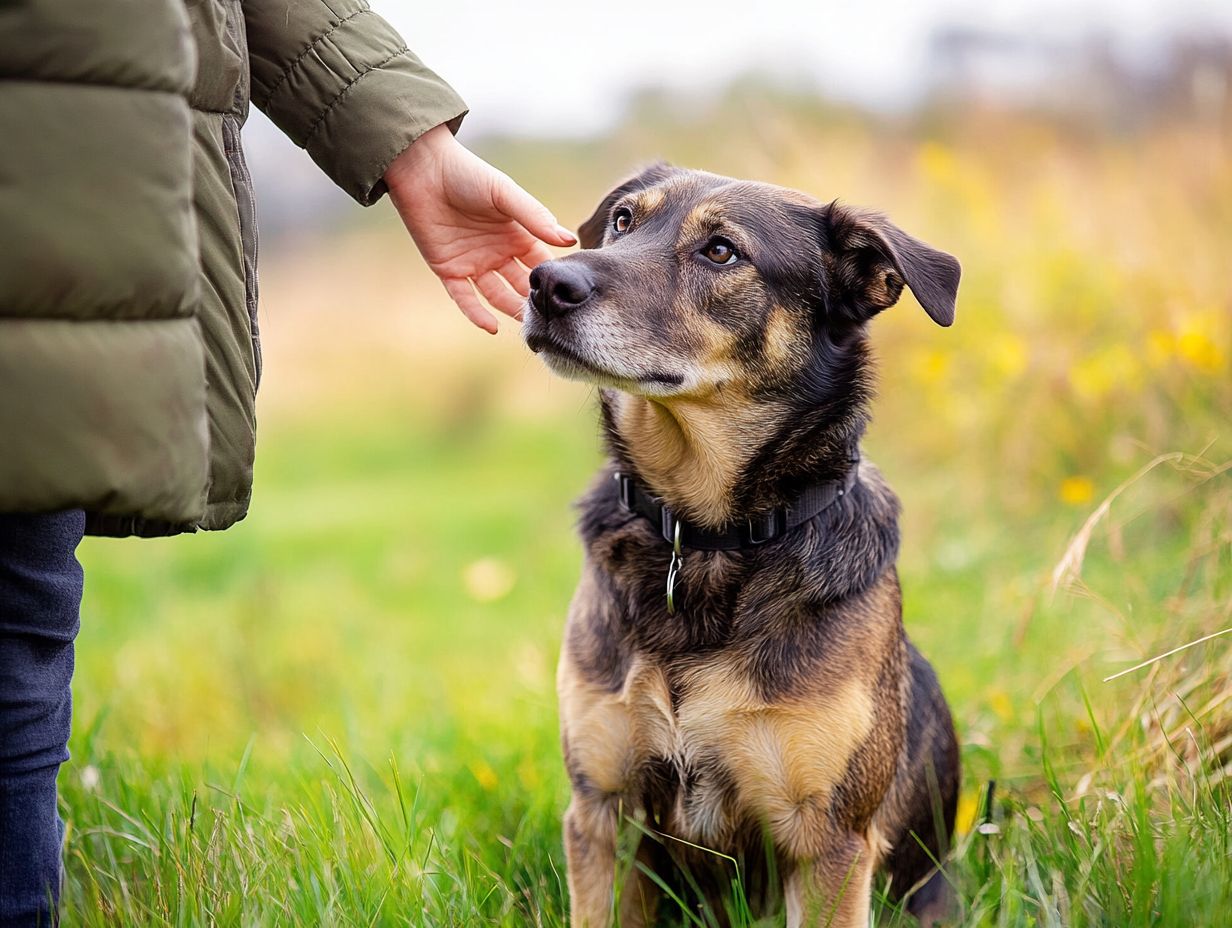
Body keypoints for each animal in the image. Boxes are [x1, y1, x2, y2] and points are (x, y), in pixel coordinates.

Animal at [519, 162, 960, 921]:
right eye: (624, 221)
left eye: (722, 252)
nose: (546, 282)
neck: (704, 537)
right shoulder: (601, 811)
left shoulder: (829, 841)